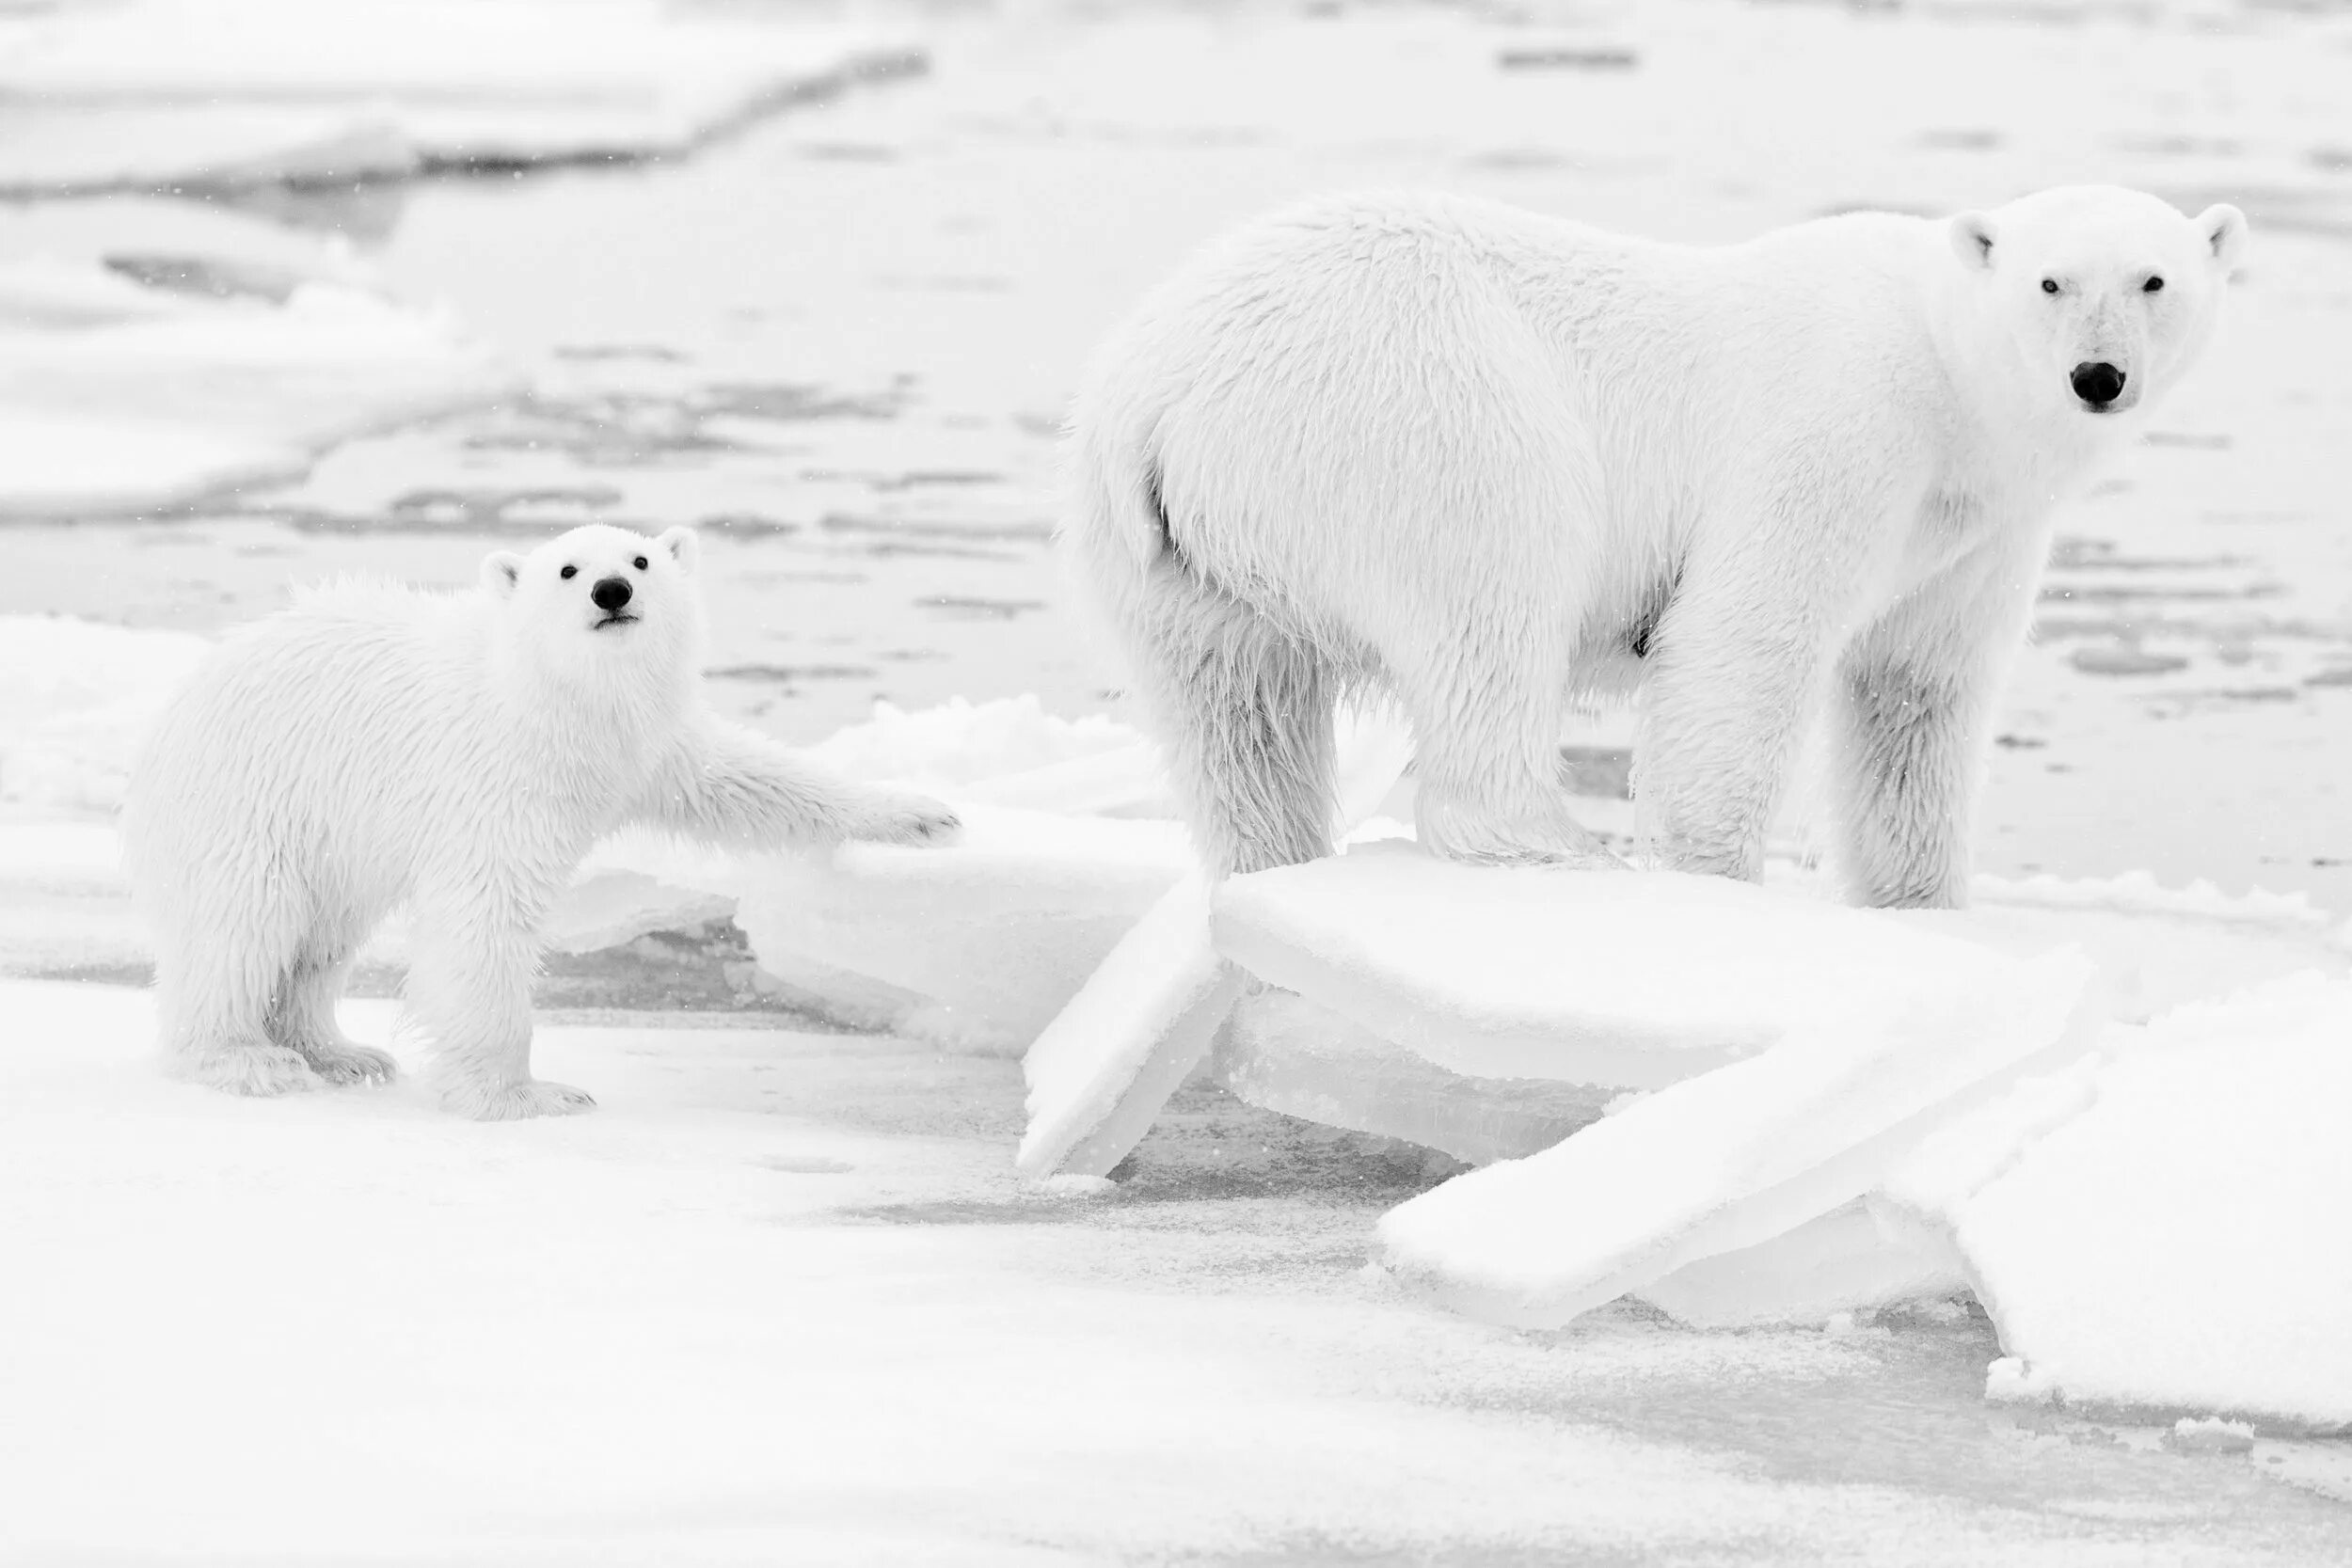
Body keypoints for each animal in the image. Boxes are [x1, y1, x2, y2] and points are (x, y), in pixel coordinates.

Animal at [1068, 184, 2239, 907]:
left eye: (2153, 280)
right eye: (2050, 281)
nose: (2098, 376)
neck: (1949, 383)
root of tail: (1159, 393)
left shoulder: (1973, 538)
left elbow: (1917, 699)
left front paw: (1923, 902)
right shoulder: (1843, 430)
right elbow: (1740, 643)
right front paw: (1714, 880)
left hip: (1172, 554)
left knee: (1237, 712)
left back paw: (1274, 857)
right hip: (1415, 409)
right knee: (1493, 602)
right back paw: (1552, 847)